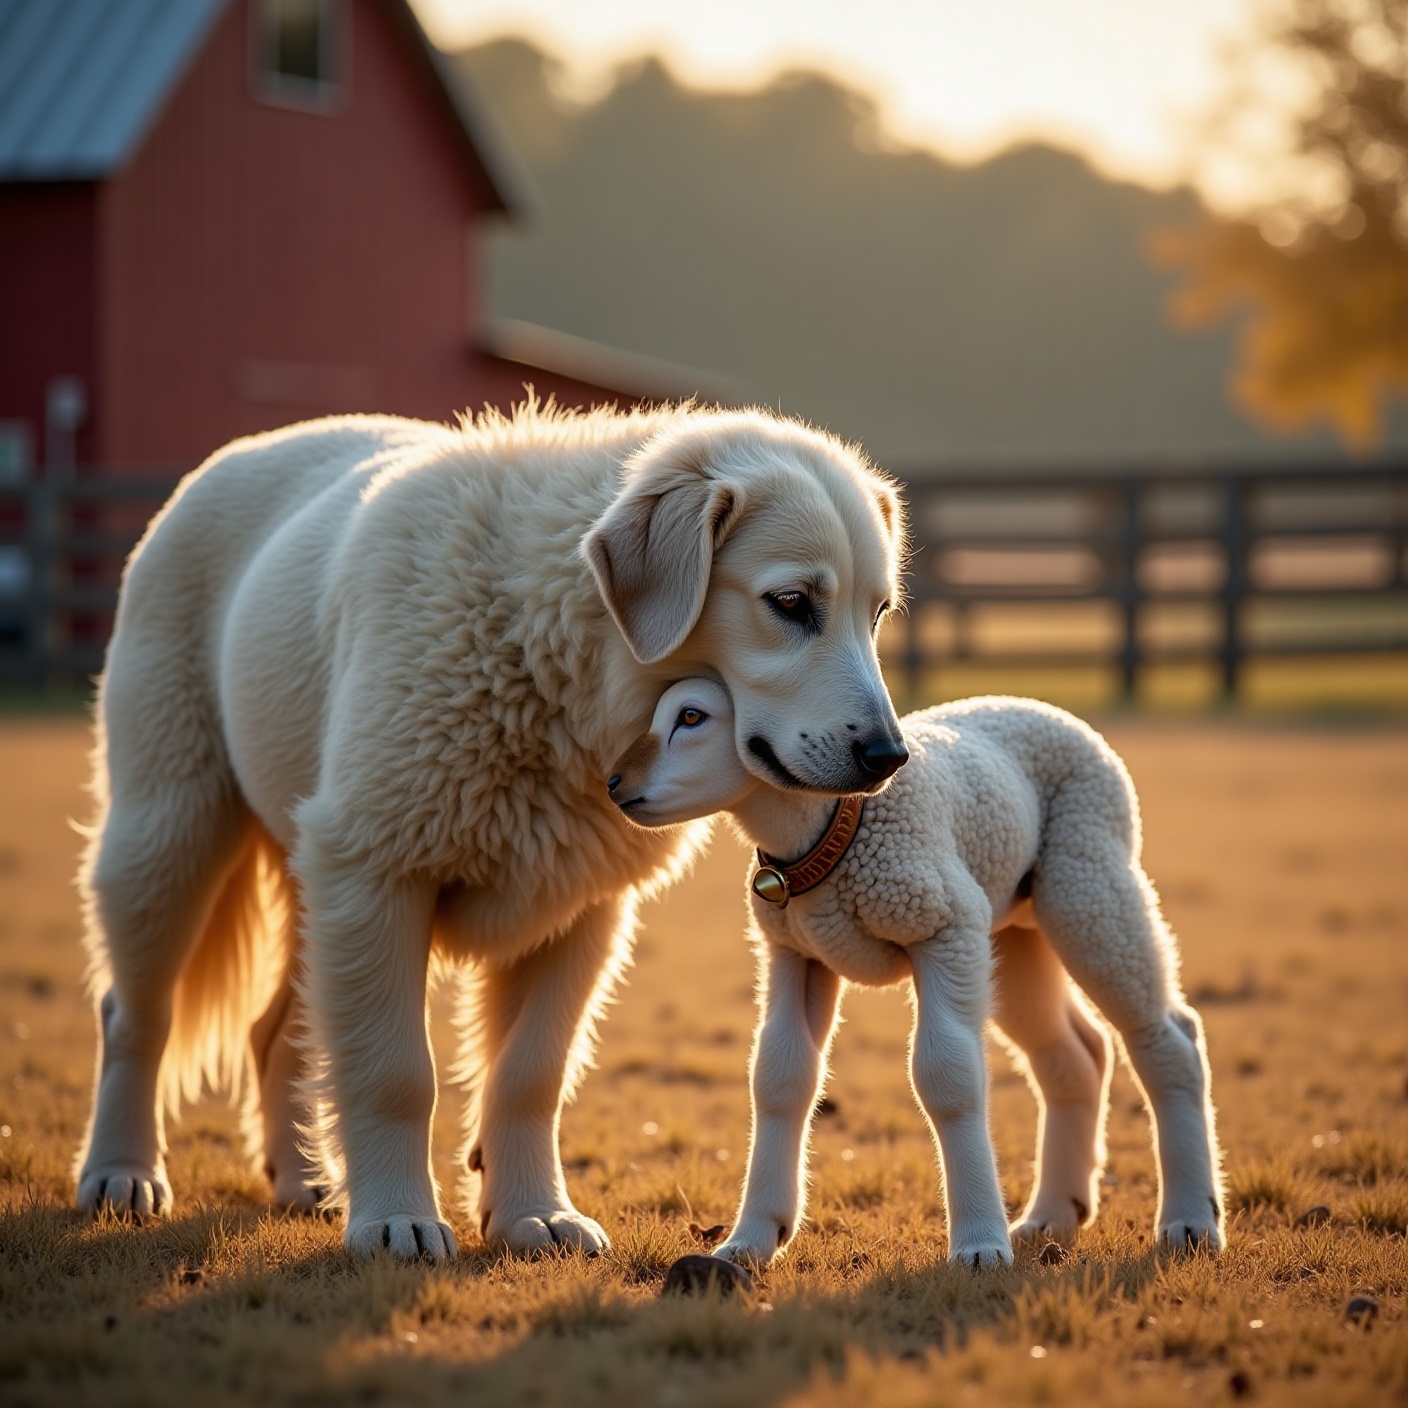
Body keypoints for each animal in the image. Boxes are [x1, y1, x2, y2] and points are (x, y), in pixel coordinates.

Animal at [607, 682, 1225, 1267]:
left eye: (691, 716)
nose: (614, 783)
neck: (831, 826)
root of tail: (1046, 708)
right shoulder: (792, 952)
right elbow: (779, 1077)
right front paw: (752, 1240)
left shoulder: (945, 928)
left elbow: (948, 1076)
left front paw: (979, 1247)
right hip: (1012, 935)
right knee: (1074, 1055)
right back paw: (1052, 1215)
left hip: (1088, 879)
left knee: (1168, 1037)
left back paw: (1191, 1222)